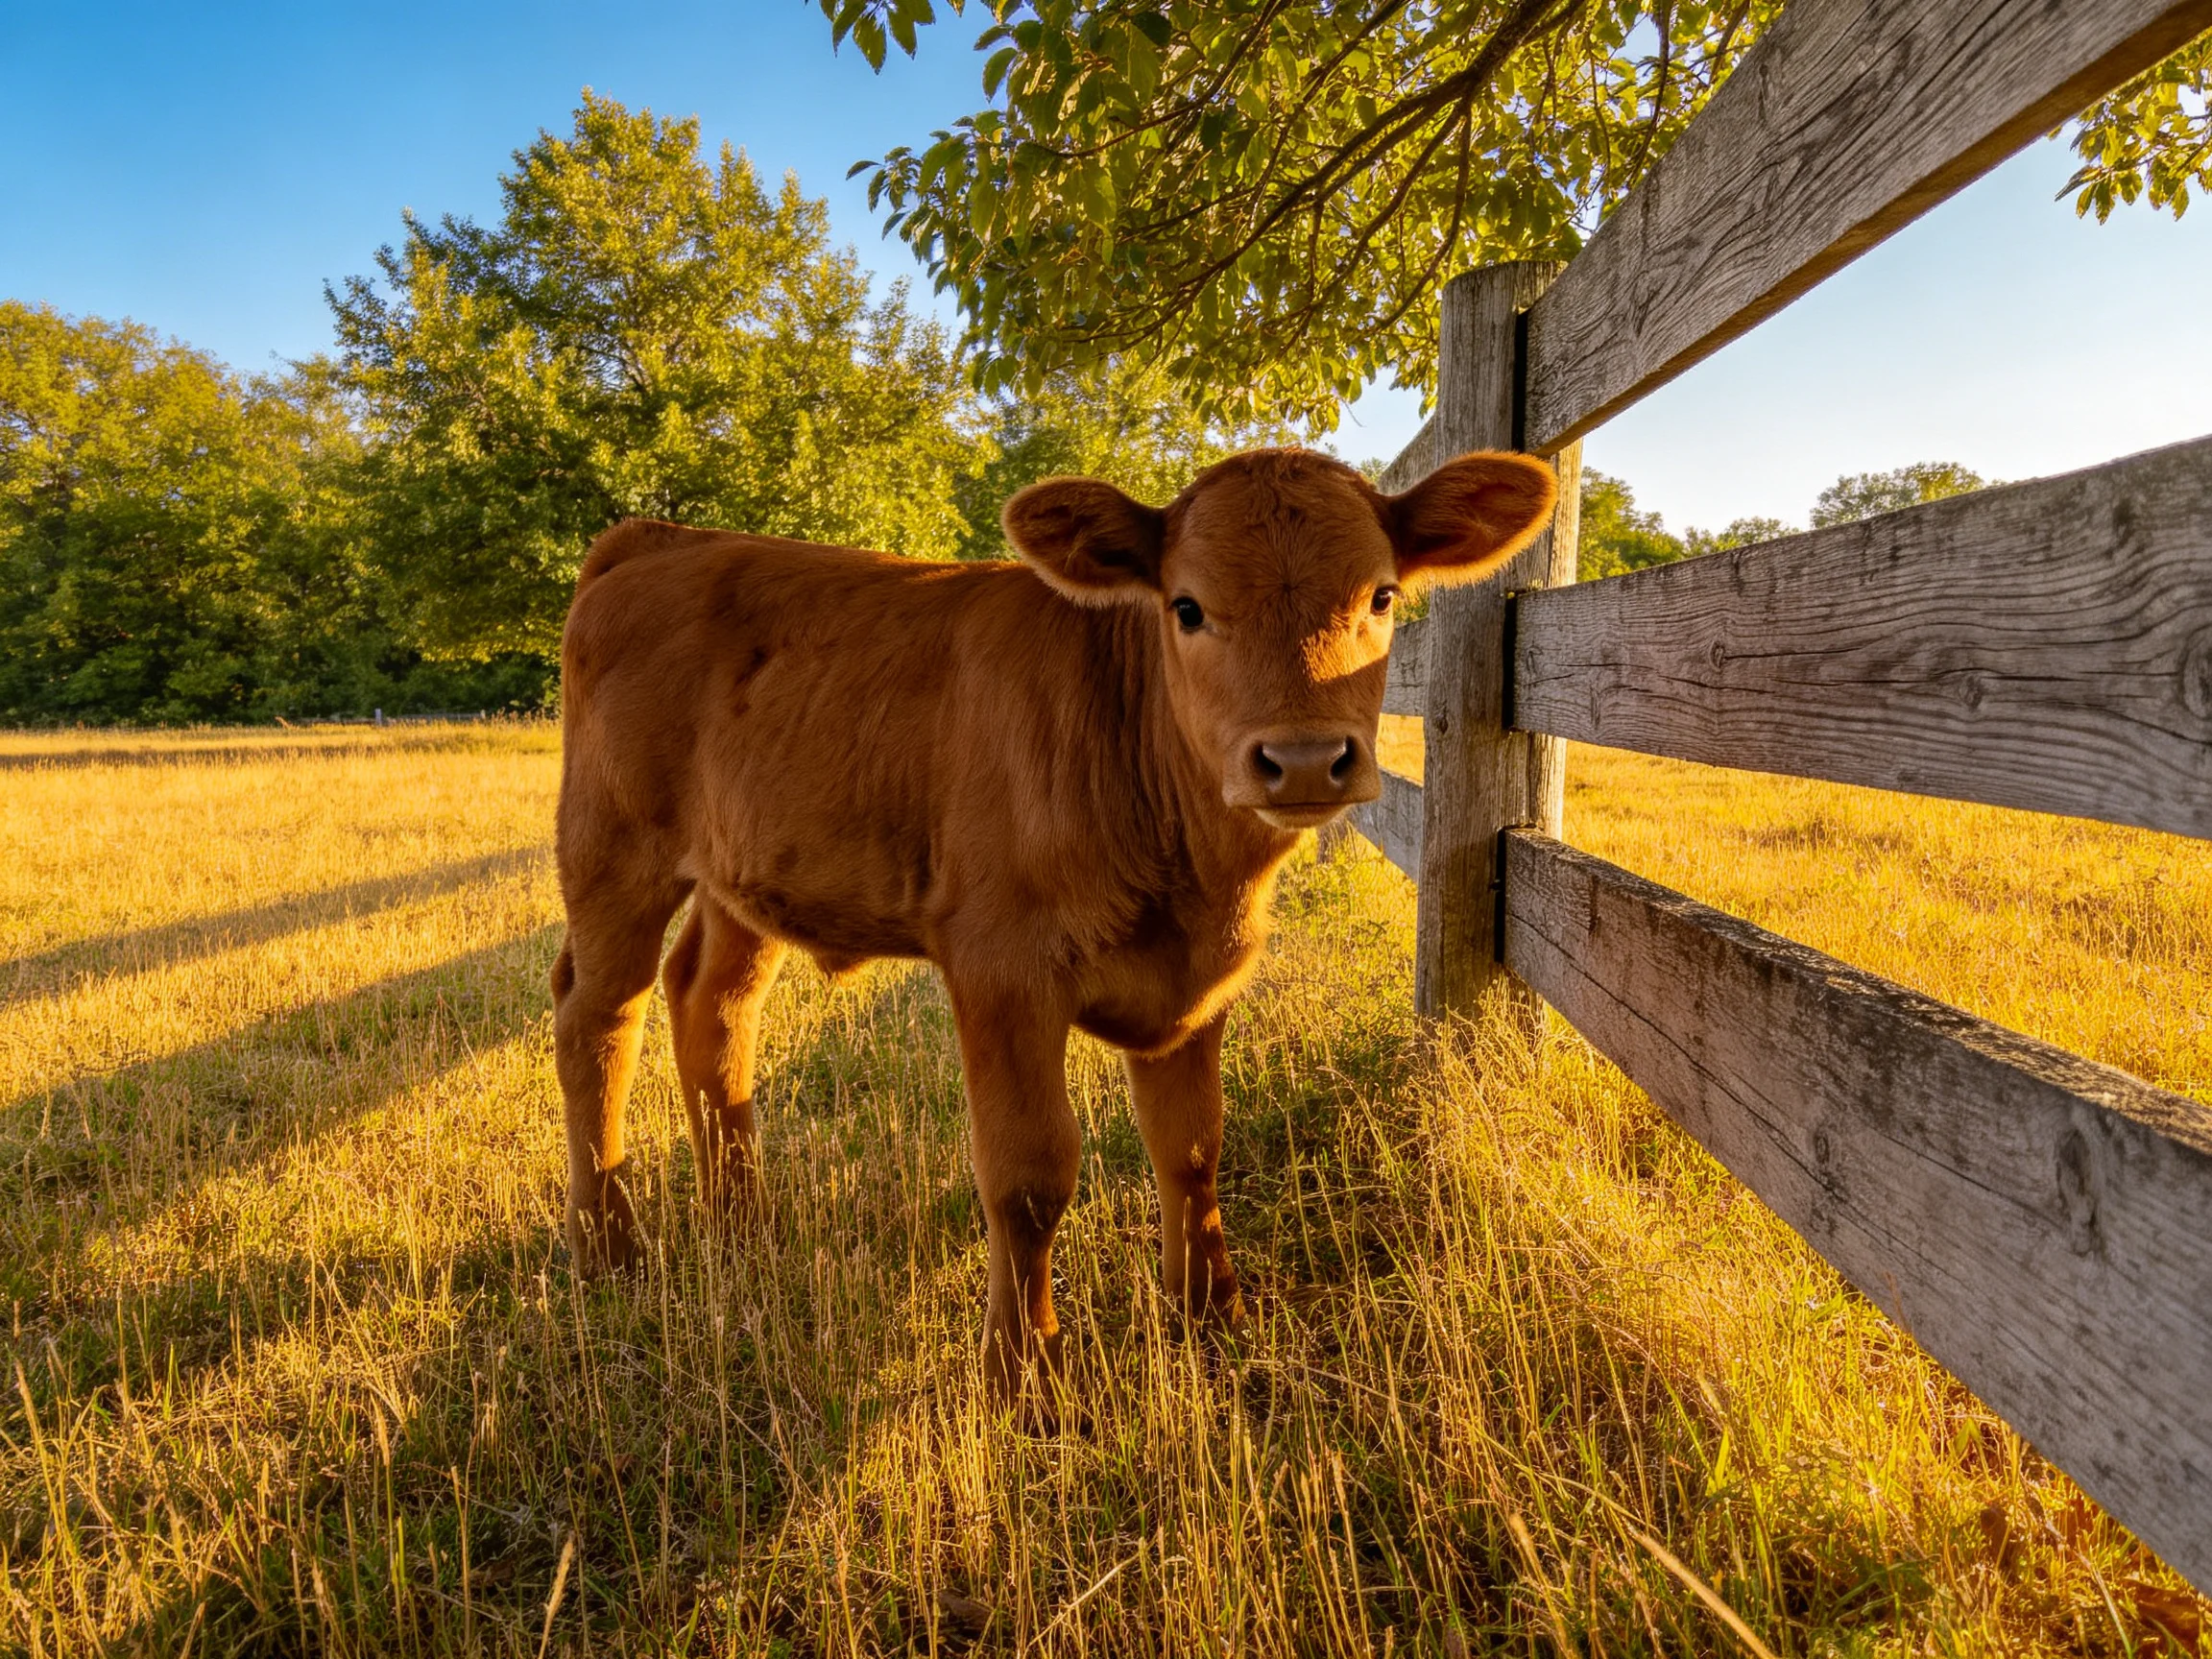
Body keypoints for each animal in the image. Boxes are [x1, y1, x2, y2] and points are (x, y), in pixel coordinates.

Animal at [550, 446, 1558, 1409]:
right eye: (1187, 607)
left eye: (1381, 596)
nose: (1305, 758)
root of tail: (659, 539)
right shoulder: (1002, 969)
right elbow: (1030, 1179)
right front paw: (1025, 1374)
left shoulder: (1201, 982)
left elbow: (1193, 1148)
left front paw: (1215, 1318)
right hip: (612, 850)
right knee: (597, 1019)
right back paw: (610, 1246)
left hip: (741, 879)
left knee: (711, 1007)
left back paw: (741, 1225)